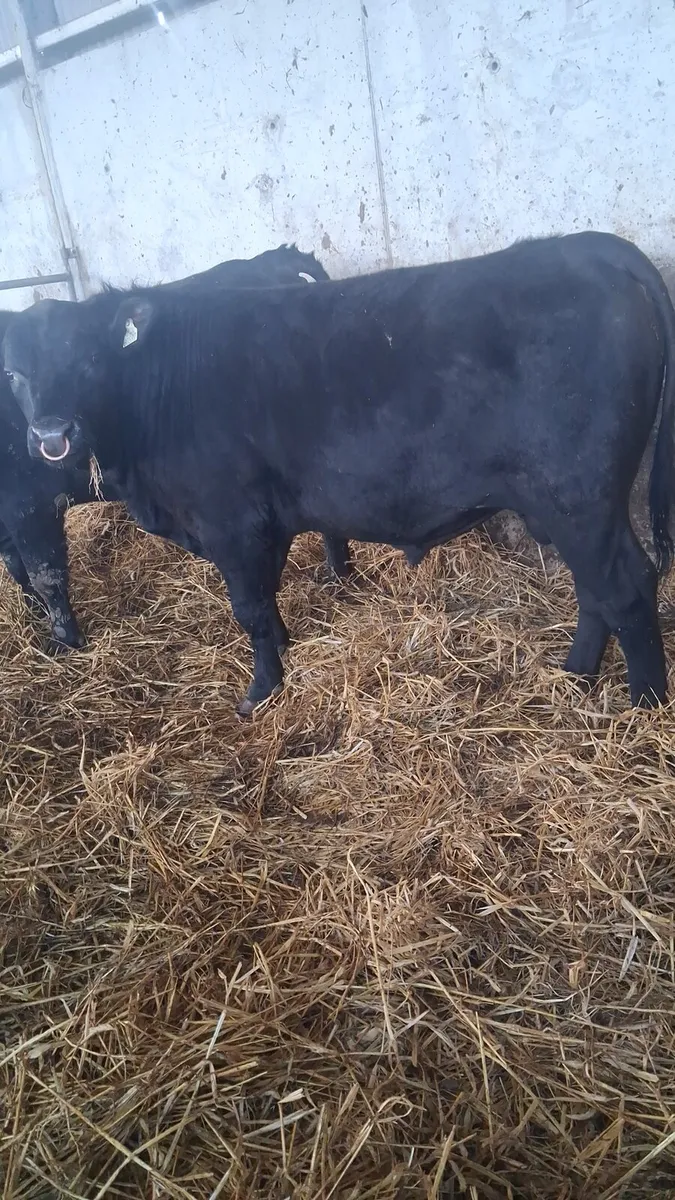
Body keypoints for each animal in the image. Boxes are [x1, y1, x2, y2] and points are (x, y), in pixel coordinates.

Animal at [0, 245, 350, 651]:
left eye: (91, 361)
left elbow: (46, 577)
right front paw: (32, 614)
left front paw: (65, 642)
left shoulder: (30, 506)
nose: (52, 436)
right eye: (11, 373)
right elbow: (18, 570)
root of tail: (269, 260)